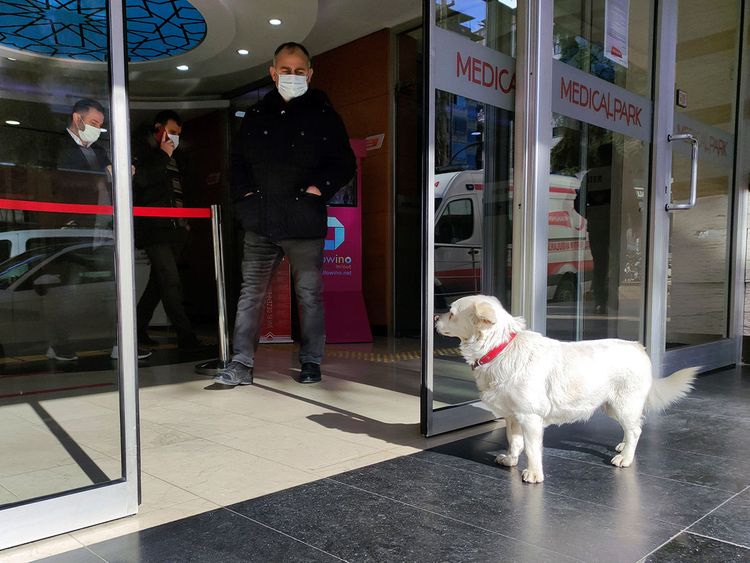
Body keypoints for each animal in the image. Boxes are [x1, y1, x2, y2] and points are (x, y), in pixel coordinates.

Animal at [434, 296, 700, 484]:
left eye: (451, 312)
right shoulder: (513, 416)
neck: (499, 348)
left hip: (624, 405)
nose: (435, 316)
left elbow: (532, 449)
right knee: (633, 428)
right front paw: (510, 459)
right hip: (611, 407)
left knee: (636, 430)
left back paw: (625, 457)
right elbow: (514, 441)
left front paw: (533, 474)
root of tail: (639, 347)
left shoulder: (530, 417)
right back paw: (623, 447)